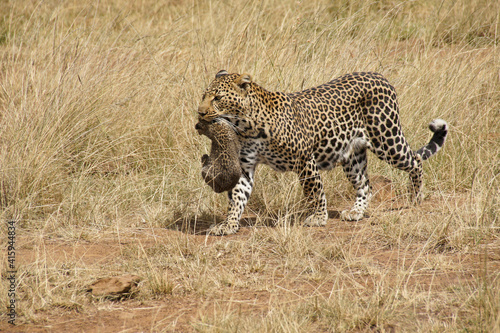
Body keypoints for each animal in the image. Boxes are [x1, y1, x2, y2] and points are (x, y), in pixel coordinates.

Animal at [196, 70, 450, 235]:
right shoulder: (245, 166)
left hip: (386, 139)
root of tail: (380, 76)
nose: (200, 113)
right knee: (365, 184)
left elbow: (314, 190)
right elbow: (237, 196)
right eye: (203, 95)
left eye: (218, 98)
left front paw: (319, 217)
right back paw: (356, 212)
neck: (247, 125)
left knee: (415, 160)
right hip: (353, 156)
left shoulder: (304, 159)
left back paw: (415, 197)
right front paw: (228, 224)